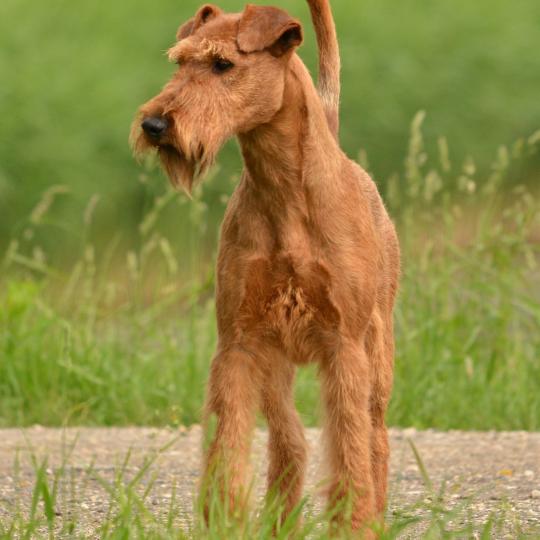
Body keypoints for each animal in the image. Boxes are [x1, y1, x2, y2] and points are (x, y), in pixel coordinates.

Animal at [132, 0, 398, 532]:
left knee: (375, 439)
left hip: (377, 354)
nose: (155, 125)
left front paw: (353, 524)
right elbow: (227, 443)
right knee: (289, 439)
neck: (285, 192)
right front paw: (222, 520)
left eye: (222, 64)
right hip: (275, 362)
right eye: (179, 62)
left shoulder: (344, 347)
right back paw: (281, 522)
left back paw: (374, 516)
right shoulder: (238, 342)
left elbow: (350, 449)